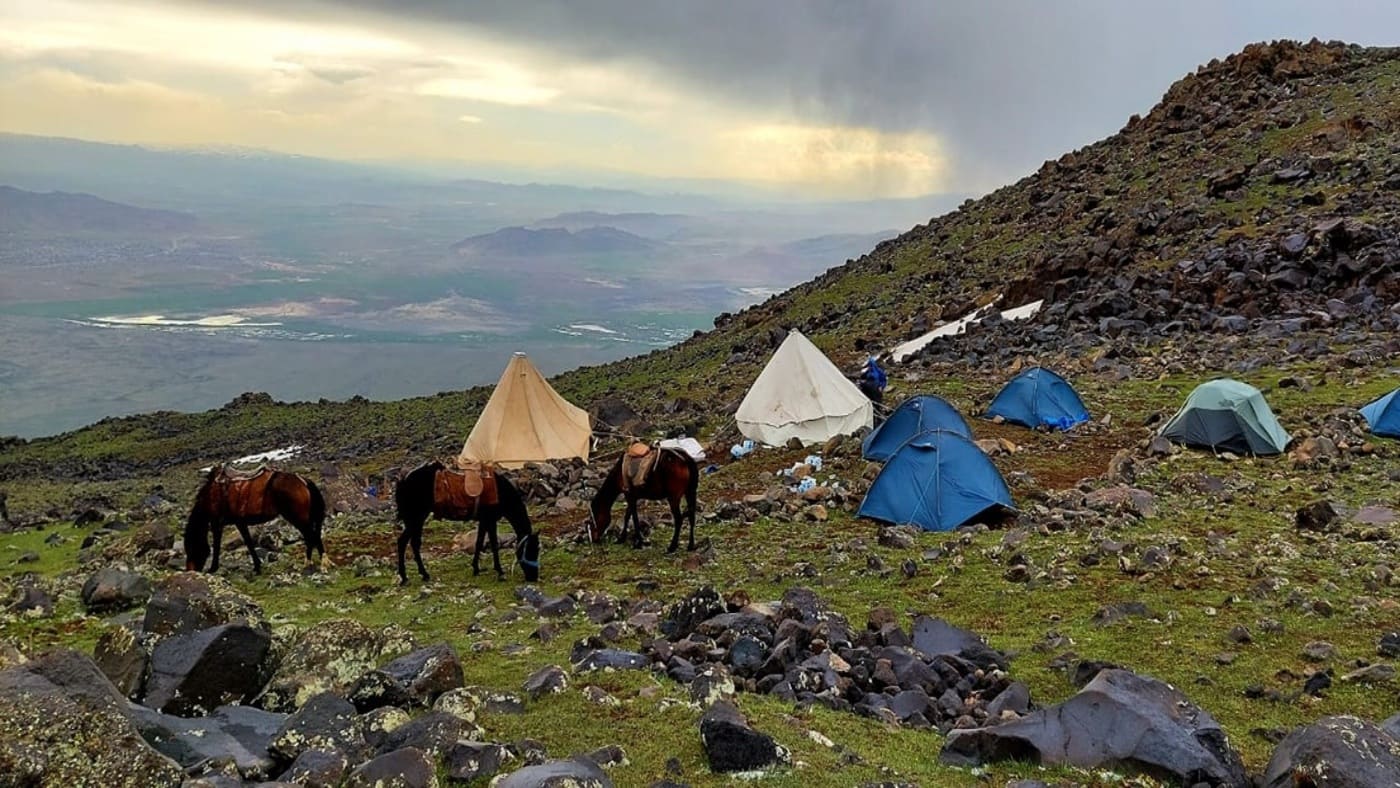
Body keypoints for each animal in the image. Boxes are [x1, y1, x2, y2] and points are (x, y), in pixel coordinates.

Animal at [184, 464, 326, 576]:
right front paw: (257, 567)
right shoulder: (239, 522)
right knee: (312, 536)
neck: (210, 495)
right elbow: (248, 542)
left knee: (311, 536)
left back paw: (314, 564)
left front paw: (213, 568)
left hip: (297, 517)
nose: (190, 570)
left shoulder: (217, 522)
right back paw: (317, 563)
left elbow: (219, 544)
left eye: (191, 549)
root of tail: (303, 481)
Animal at [392, 461, 537, 585]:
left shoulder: (484, 520)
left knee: (412, 543)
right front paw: (500, 572)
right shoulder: (490, 520)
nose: (533, 577)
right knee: (403, 542)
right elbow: (494, 544)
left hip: (416, 519)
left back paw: (422, 574)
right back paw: (406, 577)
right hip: (415, 518)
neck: (501, 492)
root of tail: (403, 481)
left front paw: (476, 568)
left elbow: (479, 542)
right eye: (531, 550)